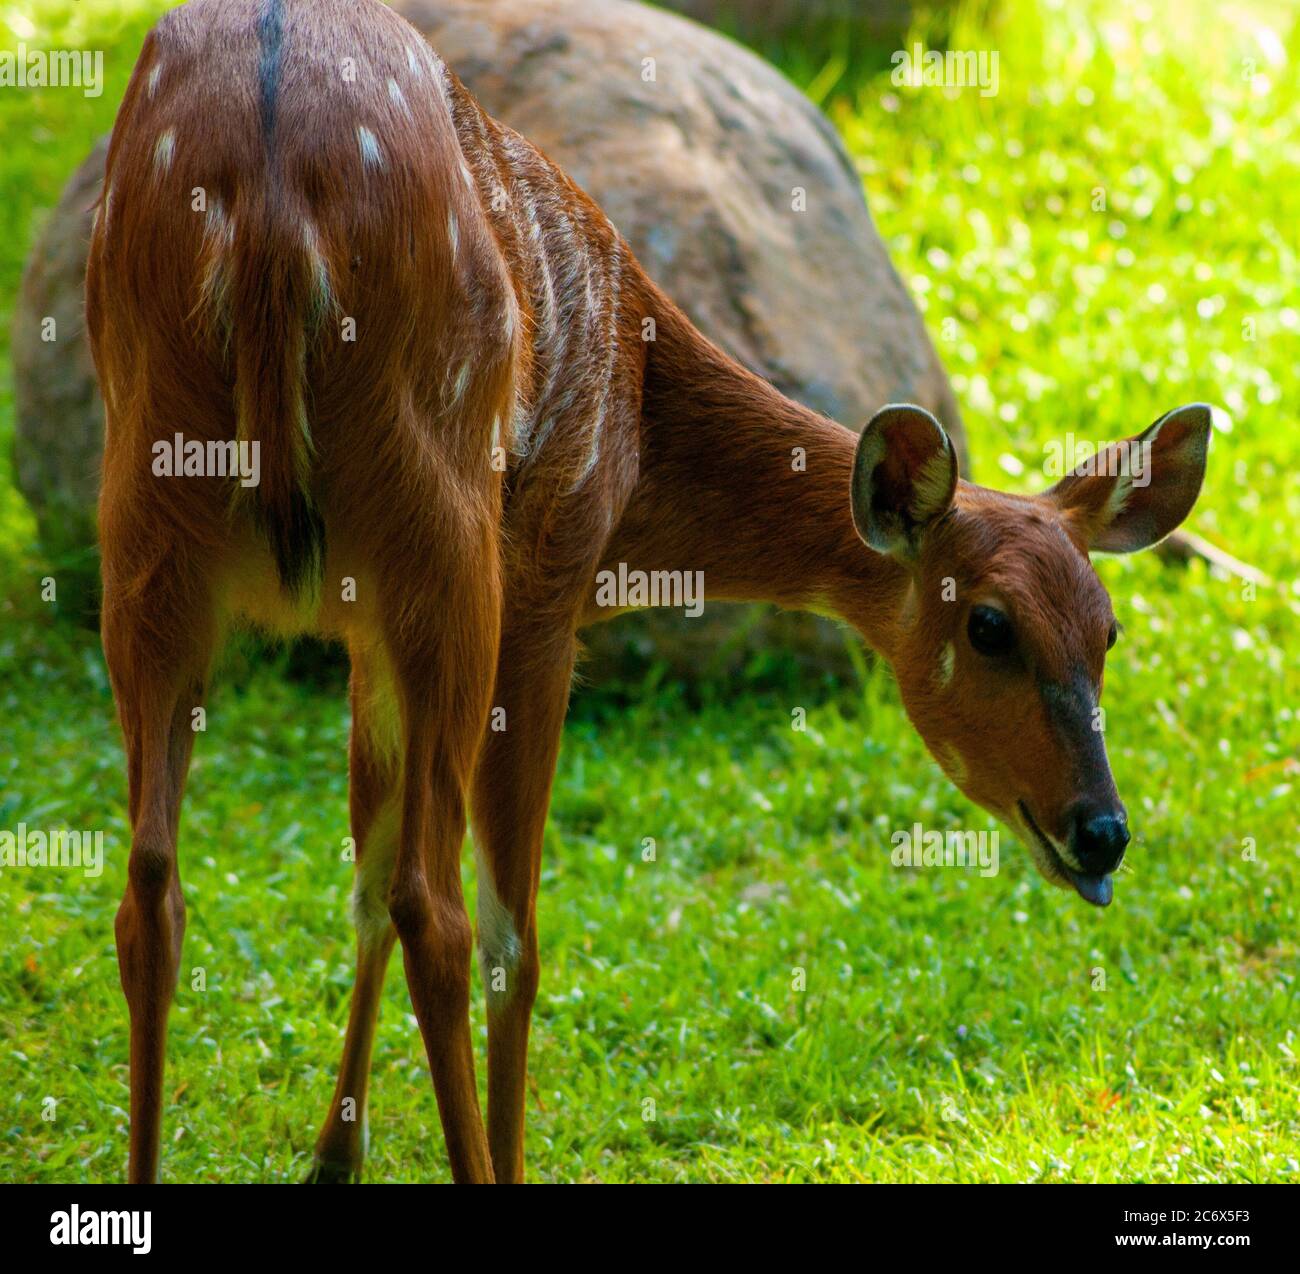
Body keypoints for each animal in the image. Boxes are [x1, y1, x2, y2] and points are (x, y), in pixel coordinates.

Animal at [86, 0, 1211, 1185]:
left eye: (1108, 630)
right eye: (989, 624)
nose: (1102, 832)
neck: (638, 443)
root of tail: (268, 208)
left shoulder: (360, 633)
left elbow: (360, 872)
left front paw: (332, 1159)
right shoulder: (546, 587)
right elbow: (511, 934)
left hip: (148, 520)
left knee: (156, 883)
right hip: (444, 545)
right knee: (439, 909)